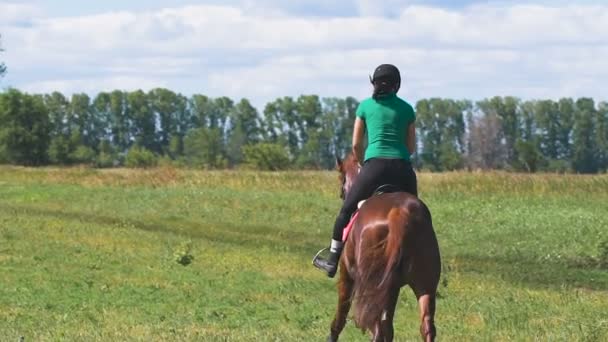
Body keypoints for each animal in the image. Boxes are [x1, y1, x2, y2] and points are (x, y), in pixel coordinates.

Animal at [328, 154, 442, 342]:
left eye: (340, 178)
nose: (341, 194)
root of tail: (400, 213)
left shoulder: (347, 277)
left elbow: (340, 318)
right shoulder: (392, 288)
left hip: (372, 284)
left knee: (377, 329)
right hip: (423, 282)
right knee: (426, 327)